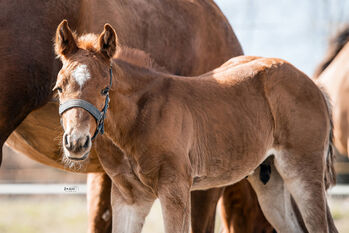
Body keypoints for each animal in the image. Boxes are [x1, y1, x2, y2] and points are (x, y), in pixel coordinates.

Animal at [0, 0, 272, 232]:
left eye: (105, 89)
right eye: (58, 88)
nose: (75, 142)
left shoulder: (110, 171)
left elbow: (101, 219)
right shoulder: (203, 181)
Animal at [53, 21, 336, 233]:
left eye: (105, 90)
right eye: (59, 88)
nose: (76, 143)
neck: (141, 118)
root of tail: (313, 83)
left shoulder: (175, 191)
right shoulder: (129, 198)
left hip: (302, 173)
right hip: (270, 181)